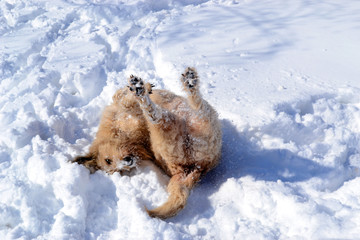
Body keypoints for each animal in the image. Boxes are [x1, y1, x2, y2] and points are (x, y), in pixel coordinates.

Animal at [73, 67, 221, 219]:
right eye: (119, 170)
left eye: (108, 160)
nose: (128, 162)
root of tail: (195, 168)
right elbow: (126, 100)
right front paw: (141, 89)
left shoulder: (120, 109)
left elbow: (122, 97)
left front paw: (145, 86)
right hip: (171, 133)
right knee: (161, 116)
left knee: (194, 104)